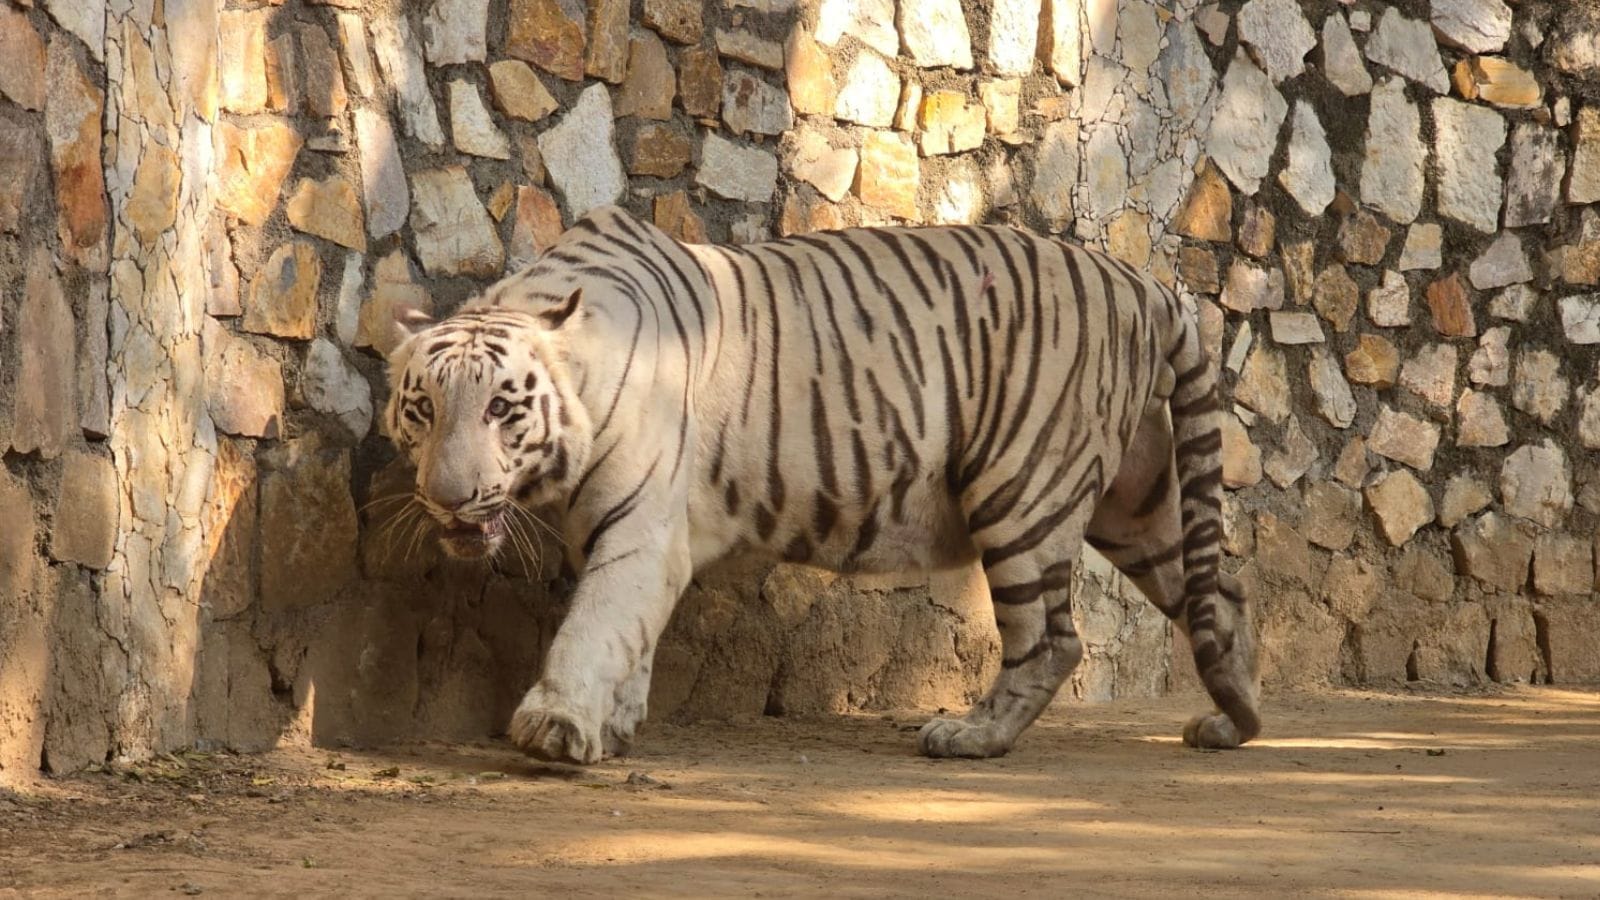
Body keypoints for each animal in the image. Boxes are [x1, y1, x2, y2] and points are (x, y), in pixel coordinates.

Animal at [381, 205, 1261, 764]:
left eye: (502, 409)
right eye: (423, 410)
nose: (449, 498)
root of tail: (1144, 285)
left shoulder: (637, 528)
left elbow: (594, 625)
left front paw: (556, 725)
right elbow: (630, 635)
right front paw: (616, 721)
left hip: (1024, 486)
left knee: (1052, 637)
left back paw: (971, 739)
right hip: (1137, 504)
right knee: (1220, 591)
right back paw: (1235, 718)